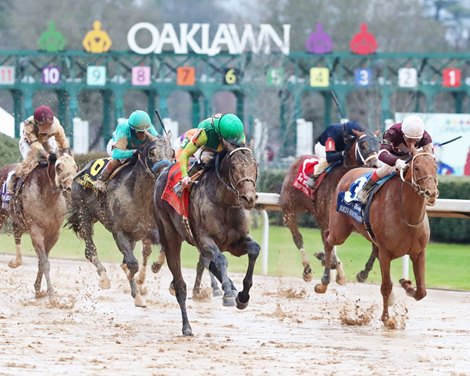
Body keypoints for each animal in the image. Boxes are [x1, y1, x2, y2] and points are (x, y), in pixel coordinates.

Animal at [0, 153, 78, 302]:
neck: (47, 197)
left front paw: (38, 290)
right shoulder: (36, 232)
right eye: (59, 167)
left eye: (75, 166)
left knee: (17, 234)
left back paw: (16, 261)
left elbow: (42, 261)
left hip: (17, 222)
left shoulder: (53, 234)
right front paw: (52, 295)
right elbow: (45, 263)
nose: (71, 187)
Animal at [153, 140, 258, 334]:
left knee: (209, 263)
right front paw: (229, 295)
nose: (249, 198)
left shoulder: (236, 241)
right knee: (180, 283)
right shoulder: (205, 239)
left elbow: (254, 249)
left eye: (255, 164)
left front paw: (242, 296)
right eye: (233, 166)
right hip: (170, 234)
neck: (224, 203)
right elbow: (222, 259)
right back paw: (187, 326)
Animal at [280, 129, 380, 282]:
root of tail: (296, 161)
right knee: (298, 238)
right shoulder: (327, 220)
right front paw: (327, 261)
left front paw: (363, 273)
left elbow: (376, 245)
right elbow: (329, 244)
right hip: (289, 210)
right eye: (363, 145)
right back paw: (308, 269)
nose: (375, 165)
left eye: (379, 144)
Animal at [316, 150, 440, 324]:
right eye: (416, 167)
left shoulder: (418, 252)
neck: (407, 215)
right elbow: (386, 286)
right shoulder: (386, 253)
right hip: (339, 230)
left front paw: (406, 284)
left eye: (435, 167)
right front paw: (386, 318)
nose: (431, 193)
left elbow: (422, 291)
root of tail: (350, 172)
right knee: (328, 239)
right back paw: (324, 280)